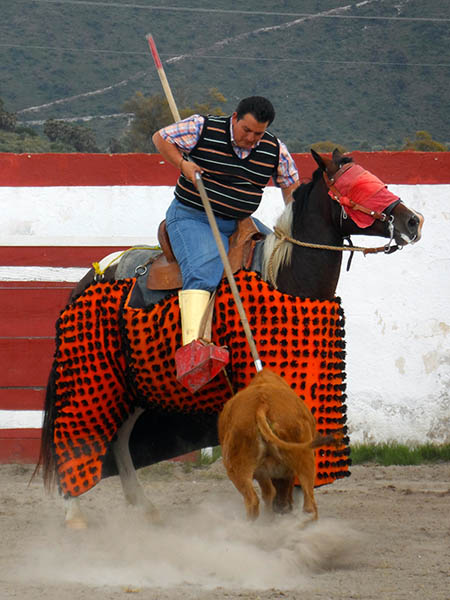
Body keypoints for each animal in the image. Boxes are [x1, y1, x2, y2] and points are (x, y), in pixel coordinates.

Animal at [35, 149, 422, 524]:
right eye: (356, 186)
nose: (413, 221)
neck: (284, 277)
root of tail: (93, 275)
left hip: (136, 386)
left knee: (119, 439)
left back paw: (143, 508)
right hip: (92, 377)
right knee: (74, 434)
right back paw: (74, 513)